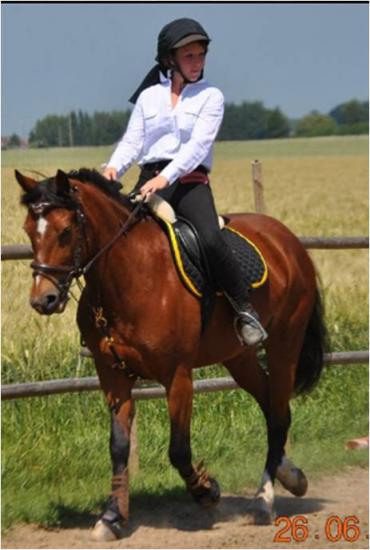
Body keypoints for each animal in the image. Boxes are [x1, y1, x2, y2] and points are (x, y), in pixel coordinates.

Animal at [15, 168, 326, 544]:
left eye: (65, 231)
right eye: (29, 230)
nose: (43, 300)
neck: (129, 274)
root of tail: (287, 239)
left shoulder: (177, 375)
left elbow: (178, 449)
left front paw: (207, 491)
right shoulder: (113, 376)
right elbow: (118, 446)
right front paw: (111, 517)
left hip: (284, 346)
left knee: (279, 413)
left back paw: (264, 499)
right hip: (238, 358)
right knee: (271, 406)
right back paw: (290, 475)